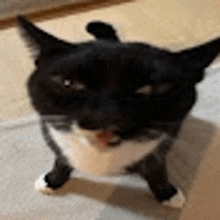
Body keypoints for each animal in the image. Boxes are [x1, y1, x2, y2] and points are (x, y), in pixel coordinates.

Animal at [16, 15, 219, 208]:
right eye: (68, 83)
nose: (105, 116)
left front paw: (166, 192)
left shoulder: (164, 141)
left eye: (151, 89)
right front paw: (53, 180)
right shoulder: (50, 132)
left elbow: (156, 167)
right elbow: (60, 159)